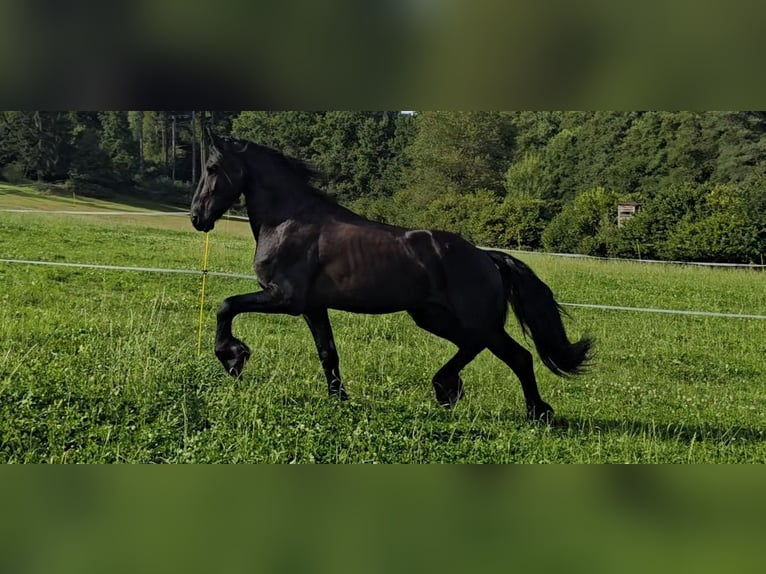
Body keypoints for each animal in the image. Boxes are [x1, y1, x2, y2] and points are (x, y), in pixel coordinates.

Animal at [190, 134, 592, 421]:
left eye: (212, 167)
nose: (197, 218)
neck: (287, 221)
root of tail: (486, 257)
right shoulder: (312, 307)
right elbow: (327, 352)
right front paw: (339, 398)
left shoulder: (284, 298)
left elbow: (226, 306)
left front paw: (233, 357)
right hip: (434, 317)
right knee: (486, 349)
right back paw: (458, 392)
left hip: (475, 321)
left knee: (513, 354)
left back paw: (525, 409)